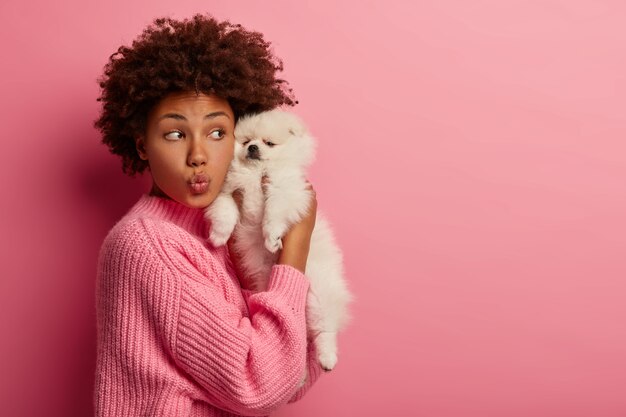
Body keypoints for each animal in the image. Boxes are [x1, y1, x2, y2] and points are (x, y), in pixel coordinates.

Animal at [205, 109, 352, 368]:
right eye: (246, 141)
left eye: (269, 143)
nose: (253, 147)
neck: (254, 173)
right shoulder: (229, 191)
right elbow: (225, 210)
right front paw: (218, 235)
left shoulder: (285, 189)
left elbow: (273, 212)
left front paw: (271, 237)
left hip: (318, 292)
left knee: (325, 327)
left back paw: (327, 357)